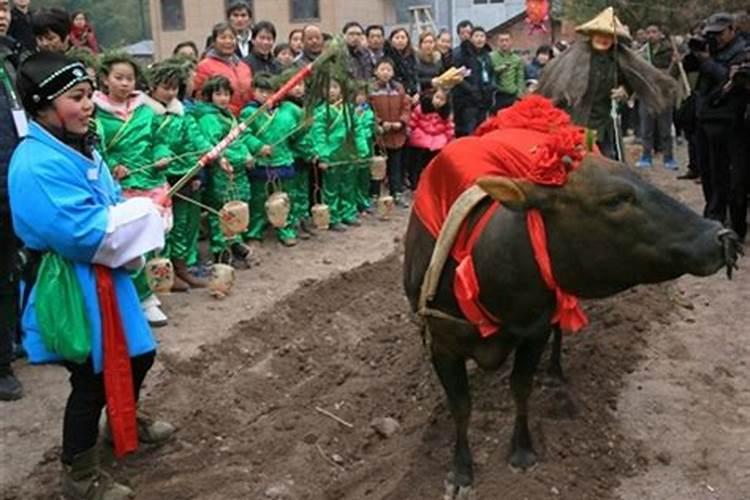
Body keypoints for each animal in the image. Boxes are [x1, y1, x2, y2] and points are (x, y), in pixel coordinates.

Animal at [402, 154, 744, 498]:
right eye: (615, 199)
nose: (721, 236)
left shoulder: (534, 329)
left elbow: (521, 388)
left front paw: (522, 450)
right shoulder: (441, 343)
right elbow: (461, 405)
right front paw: (461, 470)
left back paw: (554, 372)